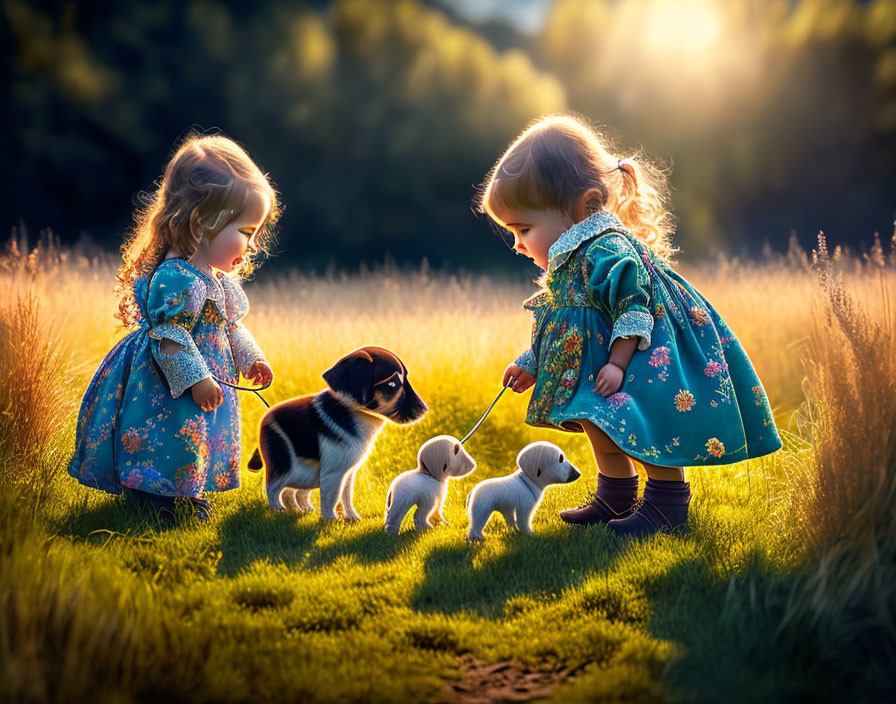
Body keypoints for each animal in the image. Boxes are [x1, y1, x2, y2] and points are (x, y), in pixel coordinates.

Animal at [245, 346, 428, 516]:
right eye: (392, 384)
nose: (425, 409)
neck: (355, 412)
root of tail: (263, 422)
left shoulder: (348, 471)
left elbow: (346, 495)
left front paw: (352, 518)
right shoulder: (333, 471)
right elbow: (331, 497)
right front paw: (330, 519)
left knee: (292, 492)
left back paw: (303, 510)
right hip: (283, 463)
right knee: (273, 488)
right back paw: (279, 510)